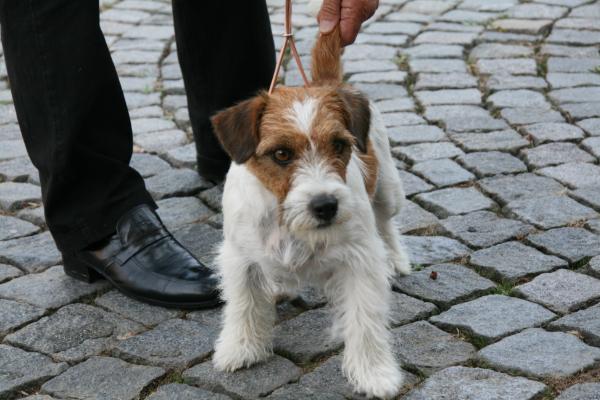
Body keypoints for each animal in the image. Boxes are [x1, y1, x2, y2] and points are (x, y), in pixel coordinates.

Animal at [209, 18, 410, 396]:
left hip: (388, 189)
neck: (285, 220)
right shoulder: (239, 258)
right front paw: (240, 348)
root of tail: (325, 81)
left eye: (340, 145)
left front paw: (374, 373)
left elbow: (364, 320)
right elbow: (243, 305)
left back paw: (395, 258)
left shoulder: (360, 262)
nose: (326, 205)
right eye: (281, 154)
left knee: (386, 224)